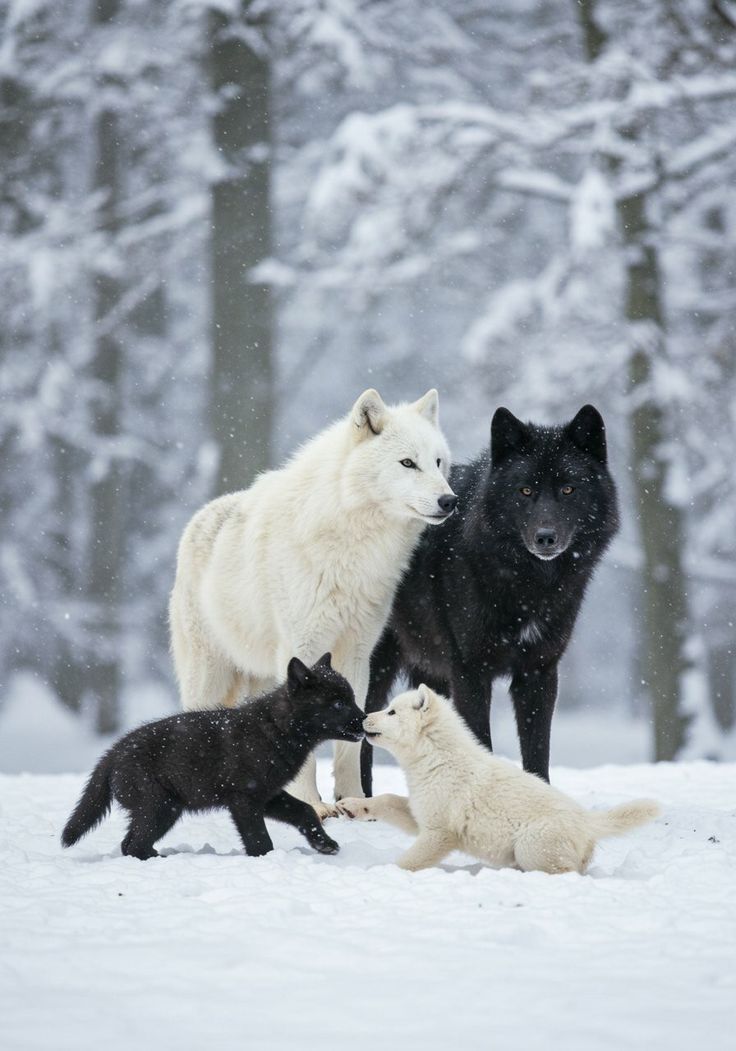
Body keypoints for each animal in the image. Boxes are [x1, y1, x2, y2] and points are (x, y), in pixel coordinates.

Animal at [62, 654, 365, 860]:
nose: (366, 720)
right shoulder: (244, 801)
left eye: (352, 698)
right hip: (161, 808)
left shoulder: (268, 795)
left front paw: (323, 843)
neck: (275, 729)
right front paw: (266, 860)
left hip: (159, 810)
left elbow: (305, 811)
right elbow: (259, 840)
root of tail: (112, 753)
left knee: (129, 844)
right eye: (339, 704)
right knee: (135, 845)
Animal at [170, 388, 455, 816]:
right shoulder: (302, 648)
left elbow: (351, 741)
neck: (355, 545)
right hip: (208, 675)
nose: (449, 500)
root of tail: (199, 517)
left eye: (438, 462)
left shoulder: (357, 652)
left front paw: (354, 801)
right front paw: (314, 805)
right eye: (408, 463)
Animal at [340, 686, 659, 874]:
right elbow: (387, 799)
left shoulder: (440, 832)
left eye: (392, 711)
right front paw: (352, 807)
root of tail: (588, 821)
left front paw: (381, 872)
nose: (364, 717)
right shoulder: (422, 816)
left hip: (531, 846)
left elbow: (408, 861)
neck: (437, 759)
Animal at [363, 404, 618, 789]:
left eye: (568, 489)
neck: (527, 584)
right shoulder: (471, 672)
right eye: (525, 490)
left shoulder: (539, 672)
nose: (546, 537)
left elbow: (537, 754)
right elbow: (479, 742)